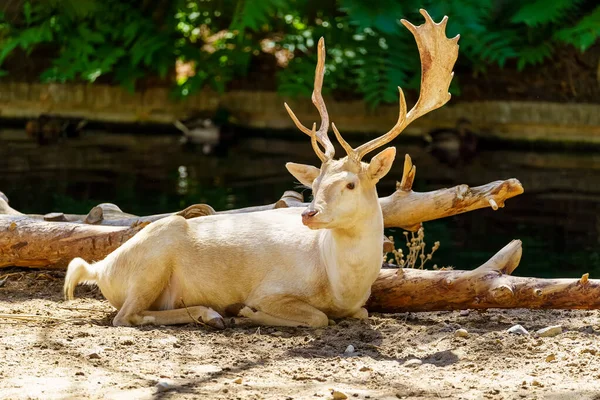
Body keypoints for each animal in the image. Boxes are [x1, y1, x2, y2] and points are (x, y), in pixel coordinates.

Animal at [63, 9, 460, 328]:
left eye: (349, 184)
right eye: (314, 184)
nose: (310, 213)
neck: (339, 284)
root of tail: (101, 267)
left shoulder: (357, 305)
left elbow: (359, 313)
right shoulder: (272, 289)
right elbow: (317, 318)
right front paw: (248, 312)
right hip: (153, 259)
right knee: (125, 316)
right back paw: (213, 313)